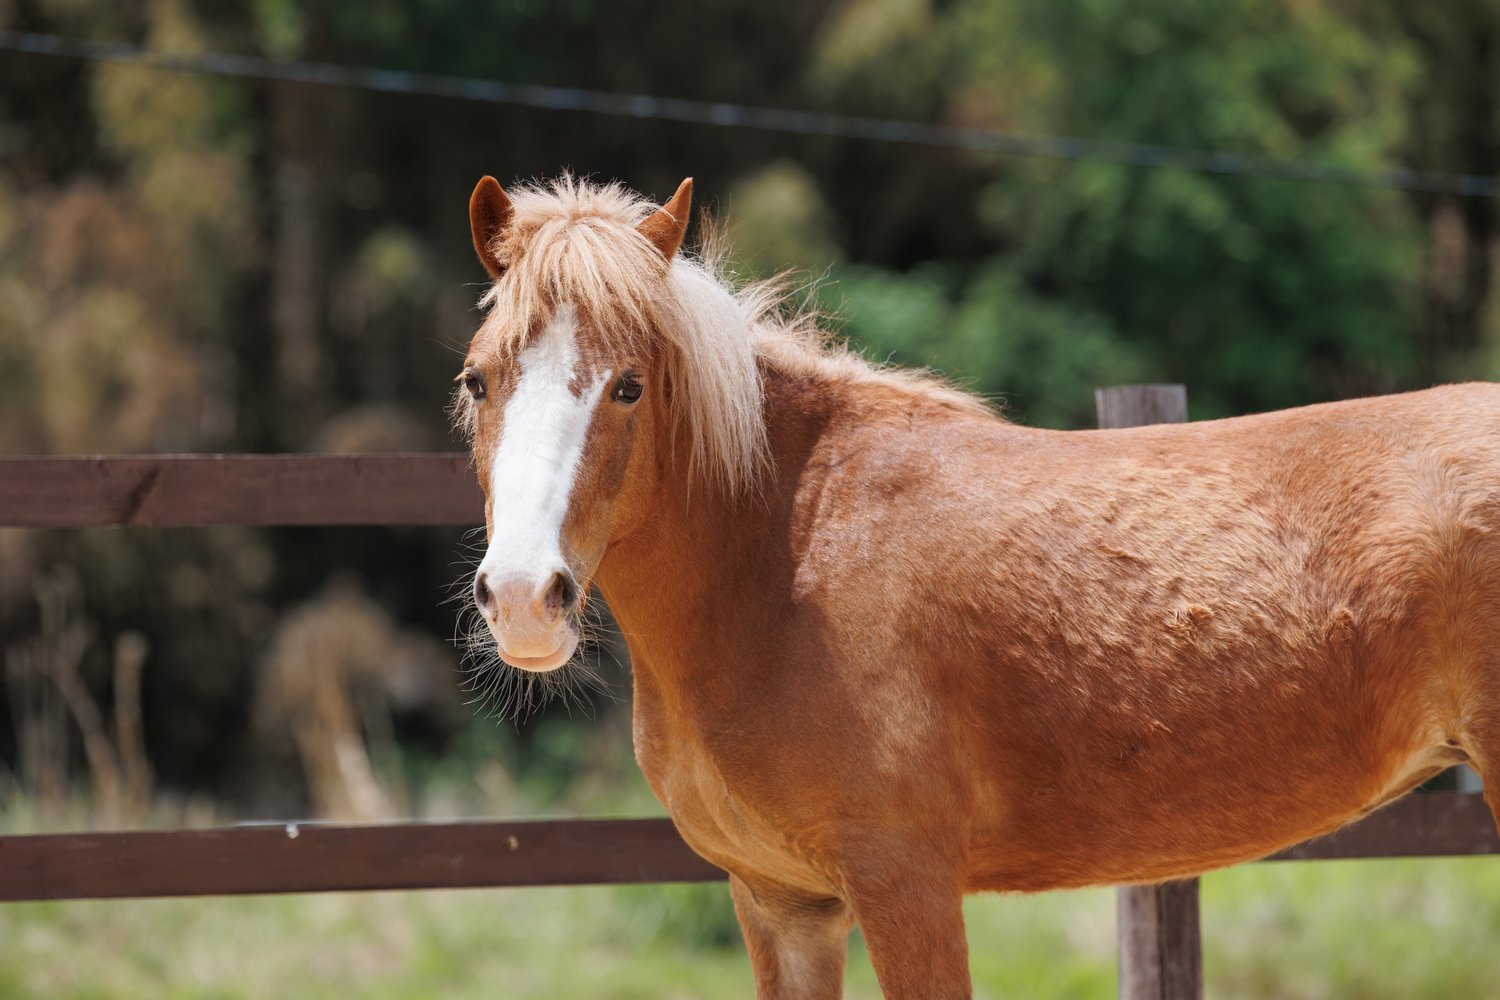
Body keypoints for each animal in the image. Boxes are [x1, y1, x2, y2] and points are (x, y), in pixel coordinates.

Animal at [453, 173, 1500, 1000]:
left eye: (629, 385)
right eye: (477, 380)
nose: (525, 597)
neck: (784, 559)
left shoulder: (904, 888)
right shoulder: (782, 905)